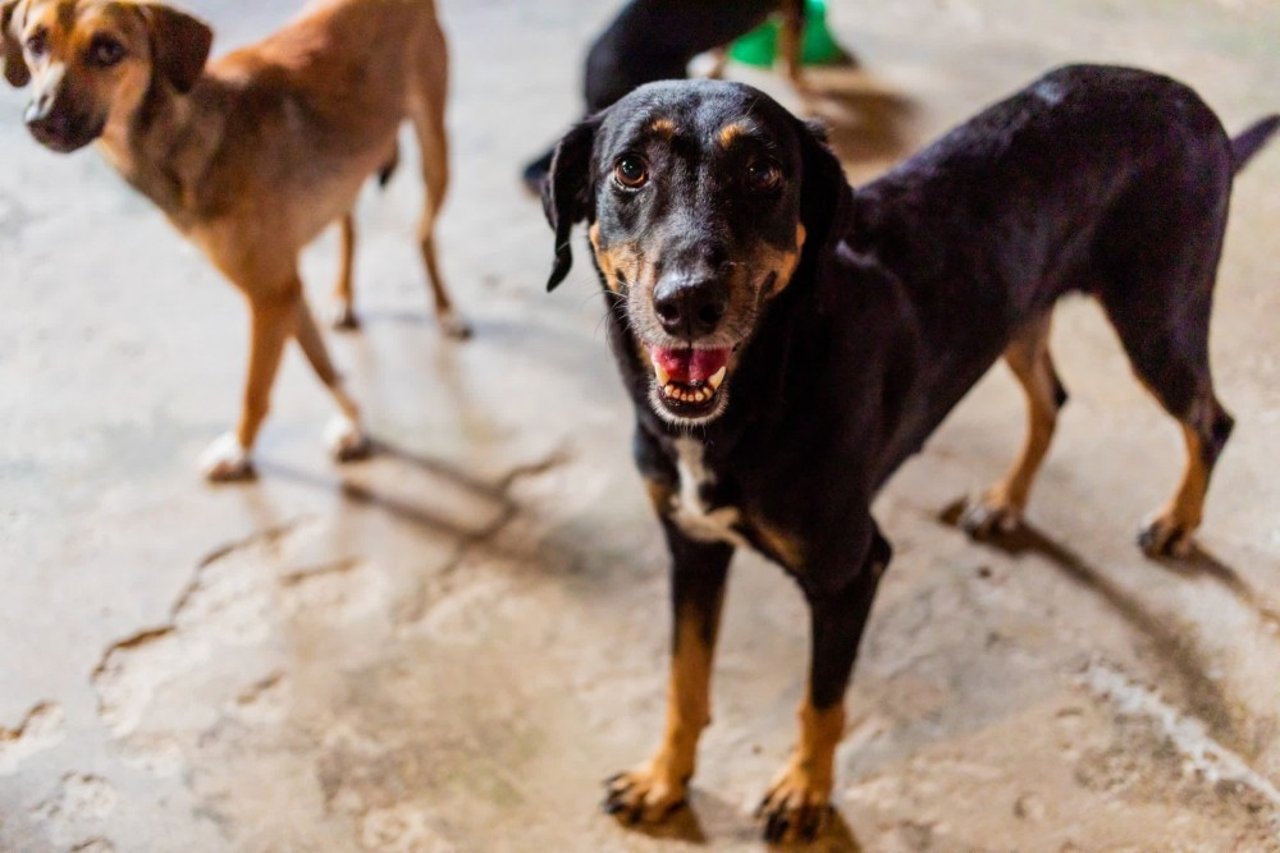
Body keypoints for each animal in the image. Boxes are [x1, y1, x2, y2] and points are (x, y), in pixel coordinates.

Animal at [1, 0, 465, 479]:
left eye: (109, 49)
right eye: (35, 43)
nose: (39, 122)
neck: (191, 132)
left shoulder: (270, 294)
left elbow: (256, 388)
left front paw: (240, 449)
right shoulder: (283, 289)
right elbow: (322, 365)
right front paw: (354, 423)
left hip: (435, 150)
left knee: (423, 233)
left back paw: (446, 310)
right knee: (349, 223)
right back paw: (343, 298)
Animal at [542, 64, 1280, 835]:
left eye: (762, 170)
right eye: (630, 168)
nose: (689, 303)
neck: (765, 383)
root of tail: (1185, 97)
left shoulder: (851, 573)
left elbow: (821, 701)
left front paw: (805, 791)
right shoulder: (692, 544)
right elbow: (684, 680)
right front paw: (664, 777)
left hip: (1157, 317)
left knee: (1212, 420)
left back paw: (1177, 522)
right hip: (1017, 314)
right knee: (1052, 399)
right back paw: (1005, 502)